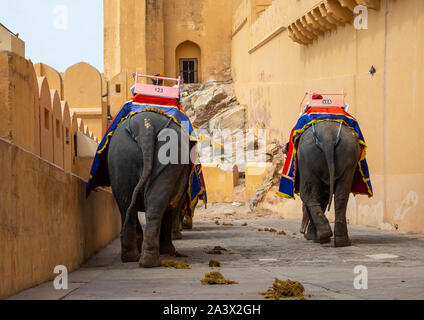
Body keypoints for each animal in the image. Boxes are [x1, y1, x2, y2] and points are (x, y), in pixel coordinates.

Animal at [107, 111, 190, 266]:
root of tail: (146, 125)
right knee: (144, 205)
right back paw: (147, 258)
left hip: (123, 155)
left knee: (129, 205)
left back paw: (138, 259)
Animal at [294, 120, 362, 248]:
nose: (301, 231)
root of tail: (327, 136)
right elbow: (325, 197)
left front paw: (312, 237)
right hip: (349, 155)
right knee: (342, 194)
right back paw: (342, 242)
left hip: (307, 158)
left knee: (308, 193)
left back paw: (323, 237)